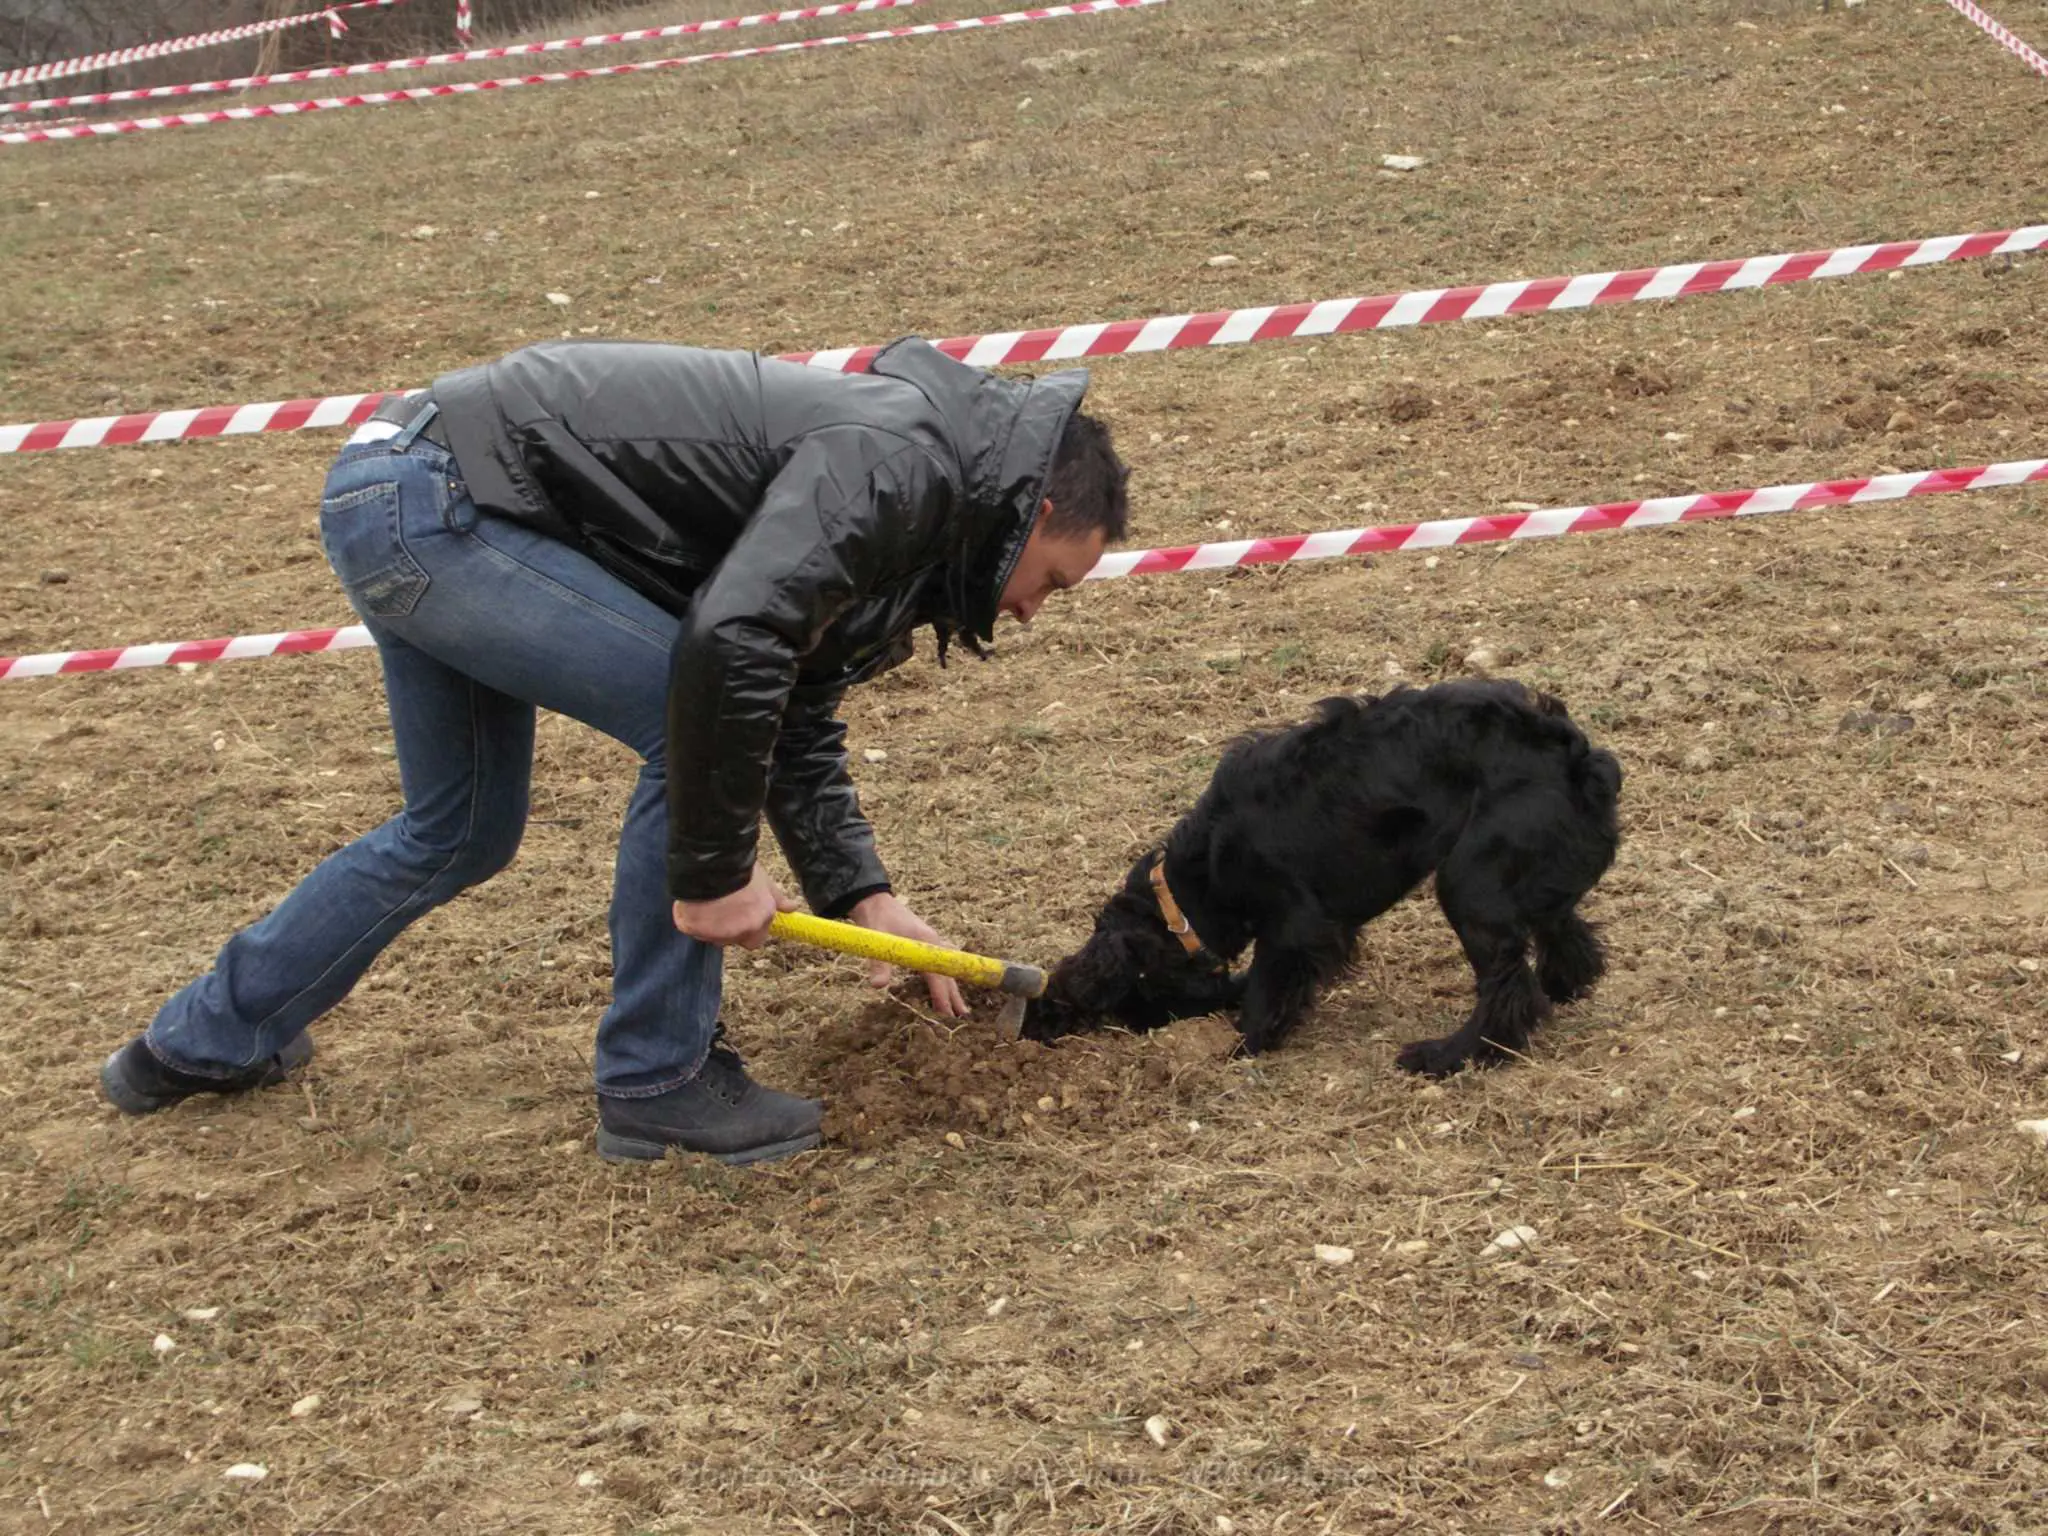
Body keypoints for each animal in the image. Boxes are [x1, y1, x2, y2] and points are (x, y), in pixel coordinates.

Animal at [1032, 679, 1622, 1073]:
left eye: (1128, 993)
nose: (1131, 1028)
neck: (1193, 884)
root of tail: (1575, 752)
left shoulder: (1294, 926)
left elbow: (1266, 989)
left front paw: (1244, 1044)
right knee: (1561, 932)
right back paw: (1562, 987)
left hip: (1470, 883)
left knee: (1507, 985)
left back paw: (1453, 1054)